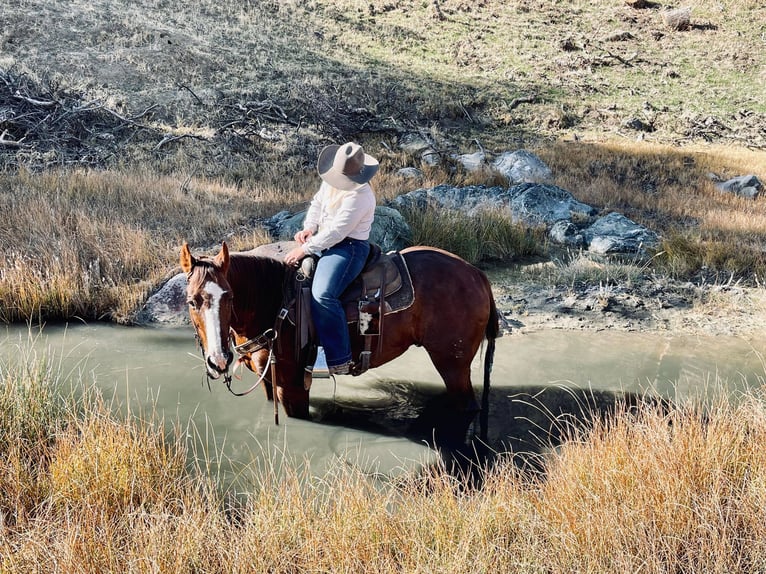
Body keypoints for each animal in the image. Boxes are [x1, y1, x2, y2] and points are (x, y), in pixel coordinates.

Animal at [182, 242, 500, 436]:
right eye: (191, 301)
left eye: (230, 297)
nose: (219, 360)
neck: (274, 303)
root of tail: (477, 274)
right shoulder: (269, 383)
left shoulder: (292, 386)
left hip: (453, 364)